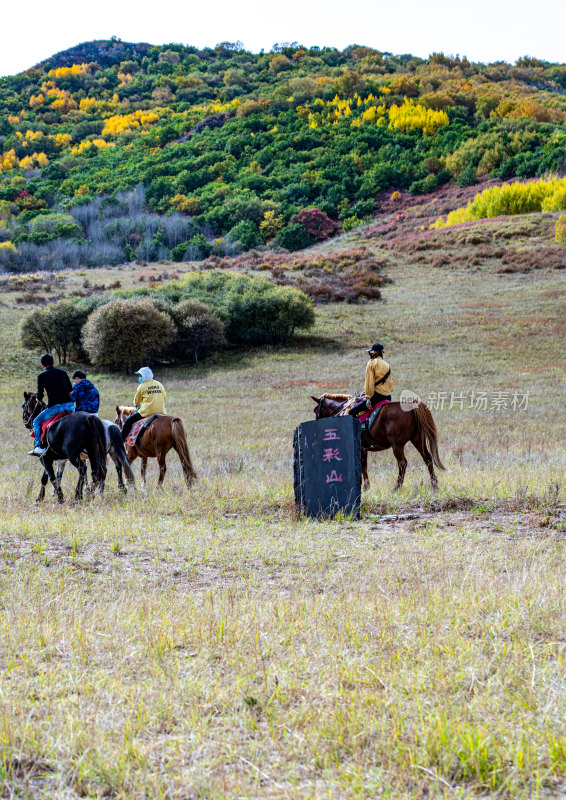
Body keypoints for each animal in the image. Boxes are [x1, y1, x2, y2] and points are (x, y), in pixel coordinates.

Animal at [312, 390, 446, 490]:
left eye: (315, 410)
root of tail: (411, 407)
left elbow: (361, 466)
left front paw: (364, 487)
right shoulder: (363, 448)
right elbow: (364, 465)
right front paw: (366, 487)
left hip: (397, 445)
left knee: (402, 463)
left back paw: (397, 487)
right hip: (417, 440)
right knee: (427, 459)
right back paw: (434, 485)